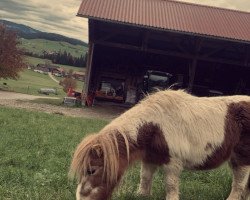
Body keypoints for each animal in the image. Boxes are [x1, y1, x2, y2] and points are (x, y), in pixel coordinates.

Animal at [69, 90, 250, 199]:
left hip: (241, 158)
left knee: (239, 182)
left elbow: (170, 185)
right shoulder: (149, 158)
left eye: (91, 170)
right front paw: (141, 195)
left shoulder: (172, 162)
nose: (80, 198)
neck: (155, 126)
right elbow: (145, 178)